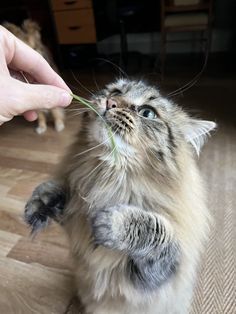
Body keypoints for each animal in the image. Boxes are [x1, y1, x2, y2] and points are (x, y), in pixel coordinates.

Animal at [24, 79, 216, 314]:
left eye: (147, 112)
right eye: (116, 92)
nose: (111, 102)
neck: (111, 179)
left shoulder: (155, 275)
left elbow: (156, 228)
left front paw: (111, 223)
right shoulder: (77, 202)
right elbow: (62, 192)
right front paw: (42, 202)